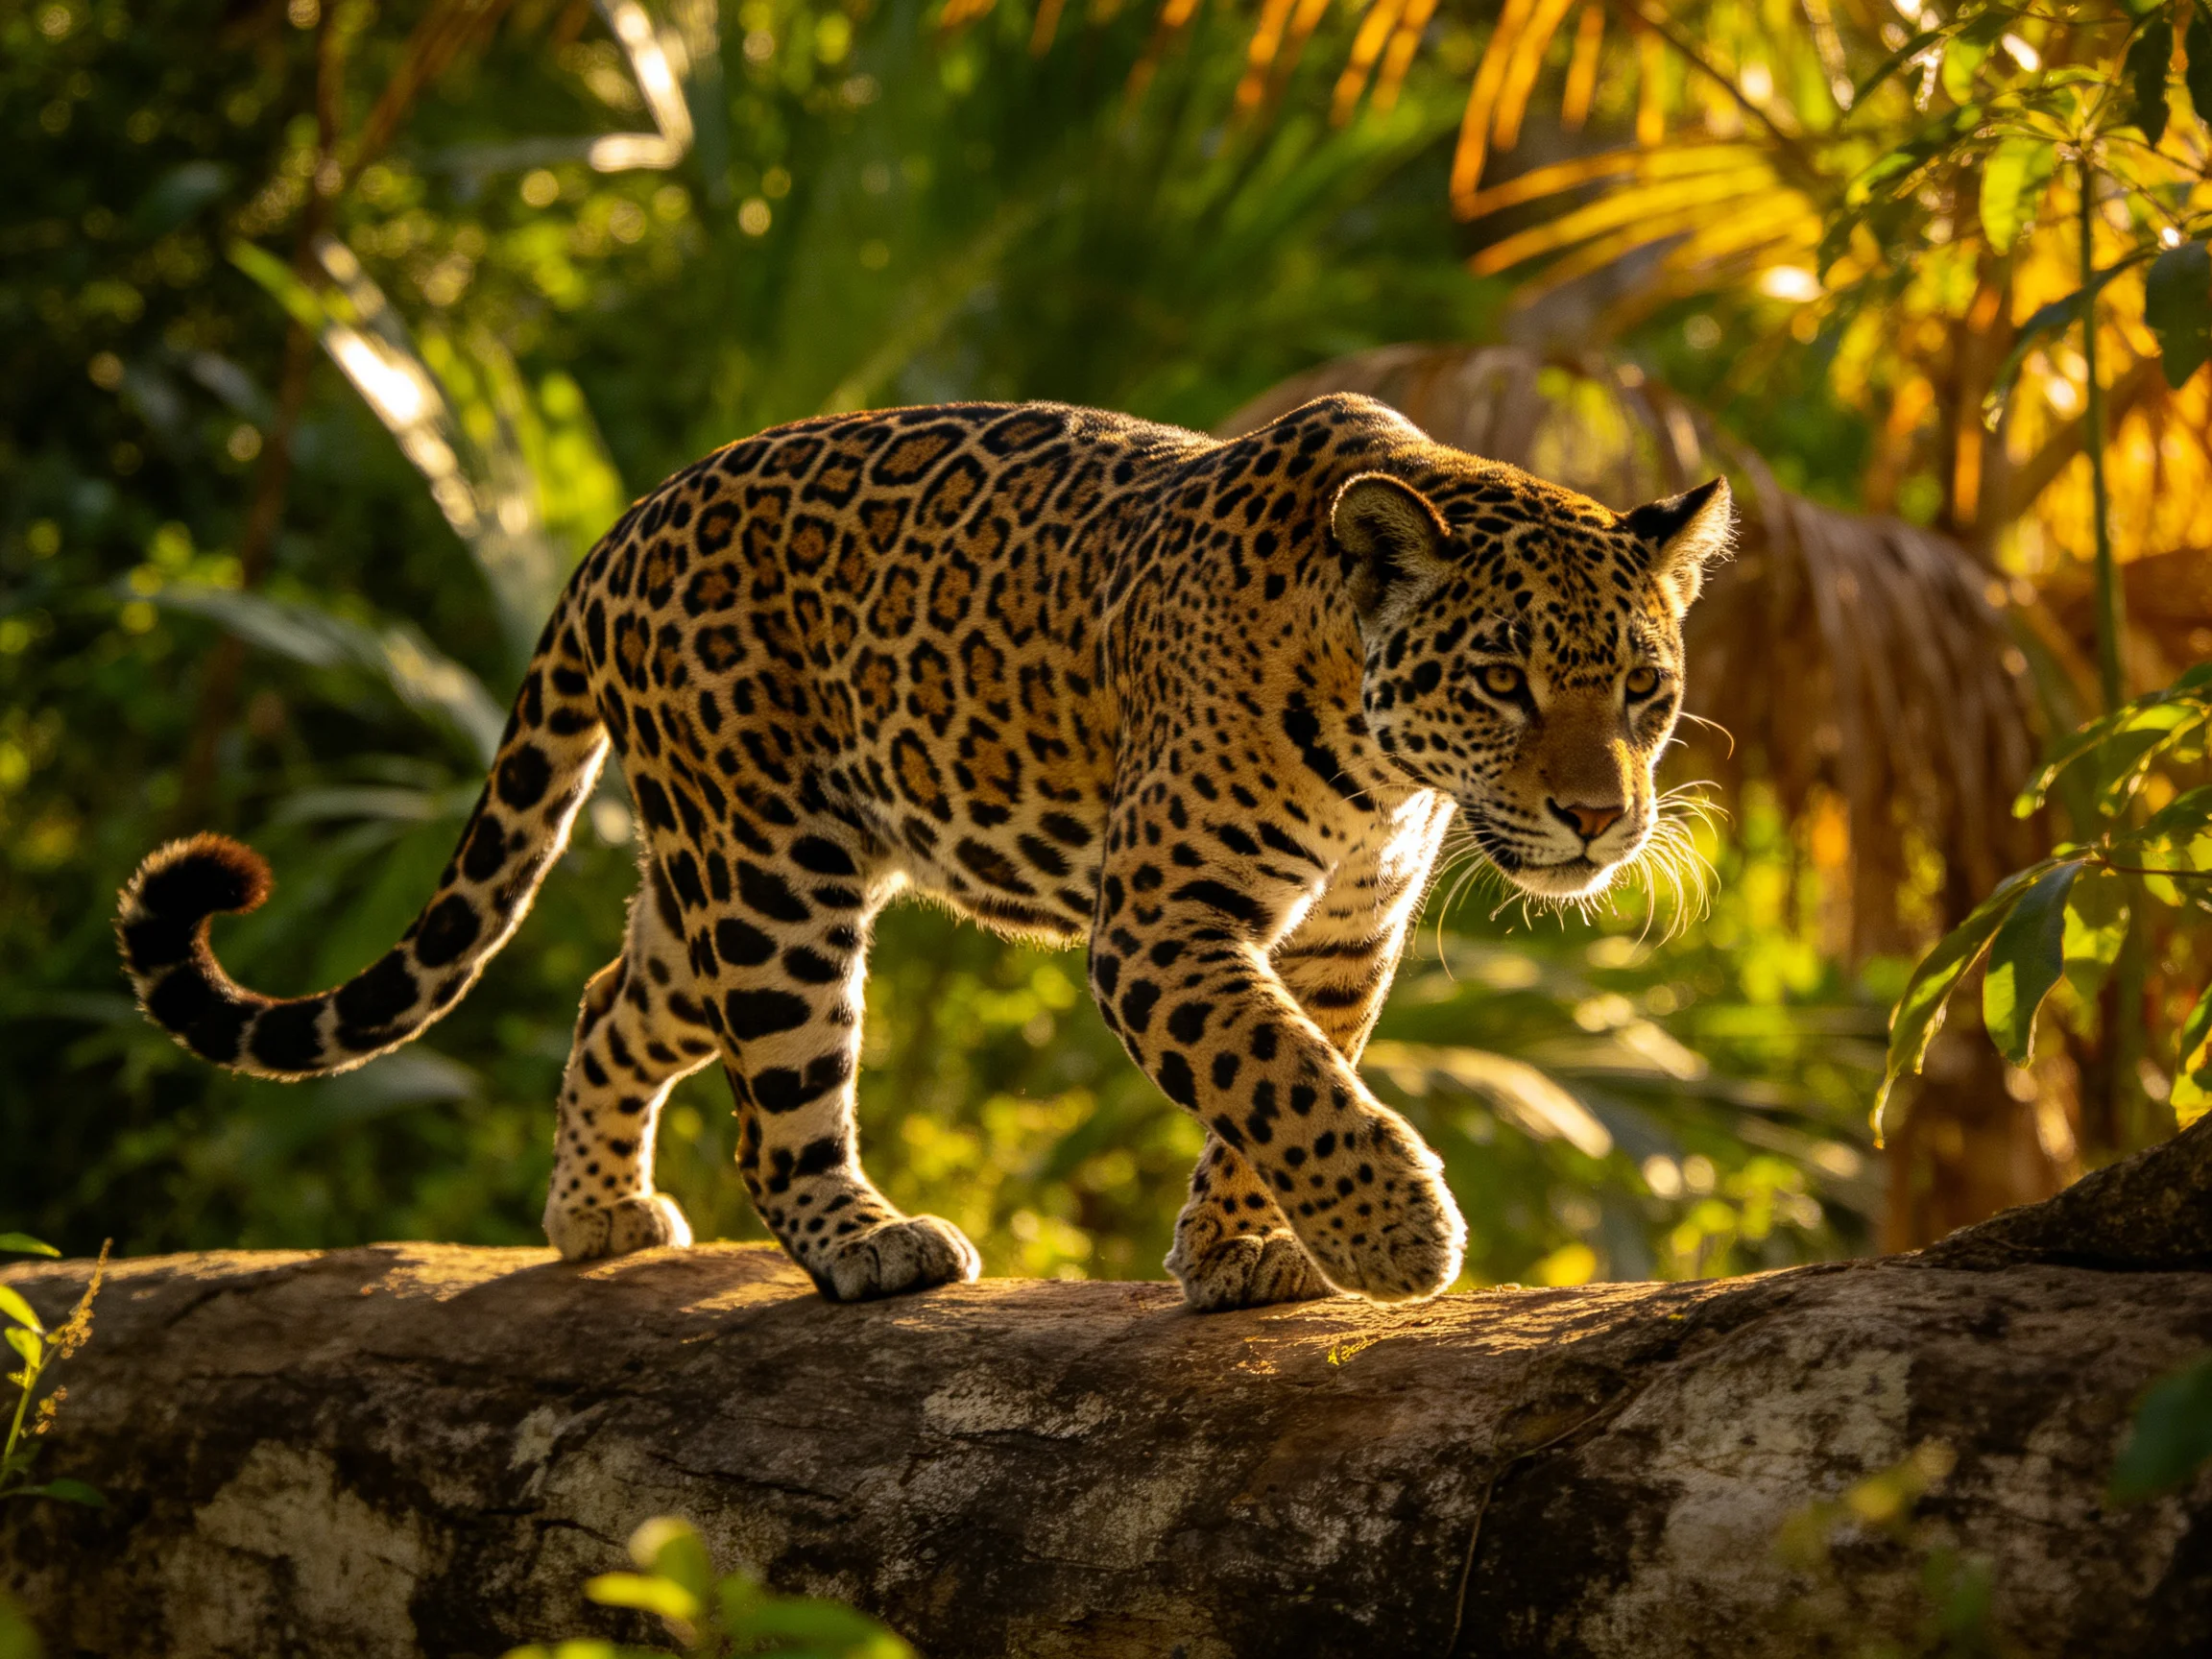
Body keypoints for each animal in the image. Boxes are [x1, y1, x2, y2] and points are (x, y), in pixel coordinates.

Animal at [116, 392, 1730, 1311]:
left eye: (1644, 691)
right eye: (1503, 682)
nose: (1602, 817)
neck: (1387, 767)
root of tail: (628, 522)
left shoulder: (1340, 937)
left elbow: (1282, 1081)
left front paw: (1239, 1255)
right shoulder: (1164, 922)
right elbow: (1273, 1073)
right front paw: (1396, 1234)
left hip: (715, 878)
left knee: (611, 1002)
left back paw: (595, 1219)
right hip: (773, 876)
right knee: (777, 1108)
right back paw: (863, 1244)